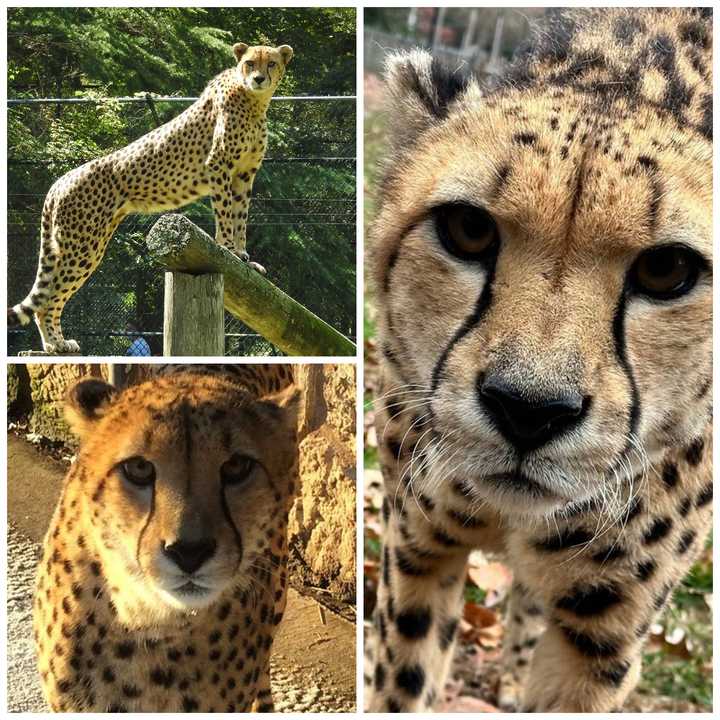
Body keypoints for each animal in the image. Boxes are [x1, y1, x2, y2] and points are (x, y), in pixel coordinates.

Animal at [7, 43, 294, 352]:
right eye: (250, 63)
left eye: (271, 63)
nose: (259, 79)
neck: (254, 101)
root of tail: (59, 181)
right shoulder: (218, 167)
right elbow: (227, 215)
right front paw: (228, 249)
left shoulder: (244, 174)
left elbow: (240, 217)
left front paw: (242, 257)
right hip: (82, 246)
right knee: (47, 301)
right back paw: (56, 344)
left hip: (85, 244)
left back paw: (55, 343)